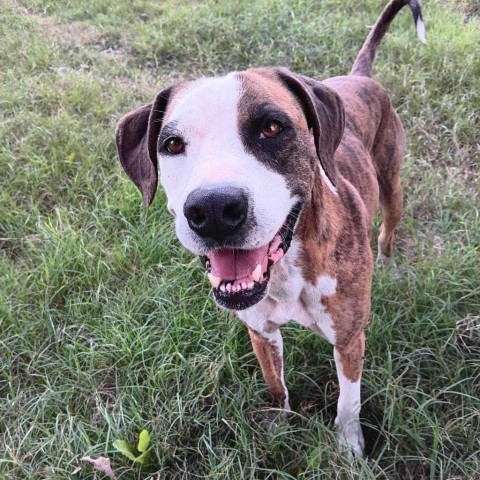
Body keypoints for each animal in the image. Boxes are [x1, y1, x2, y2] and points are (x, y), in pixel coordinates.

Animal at [115, 0, 424, 456]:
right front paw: (280, 427)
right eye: (172, 145)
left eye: (272, 128)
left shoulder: (350, 340)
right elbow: (276, 386)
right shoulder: (261, 333)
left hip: (392, 183)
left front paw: (349, 448)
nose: (213, 209)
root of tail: (360, 77)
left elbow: (348, 402)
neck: (288, 270)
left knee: (389, 224)